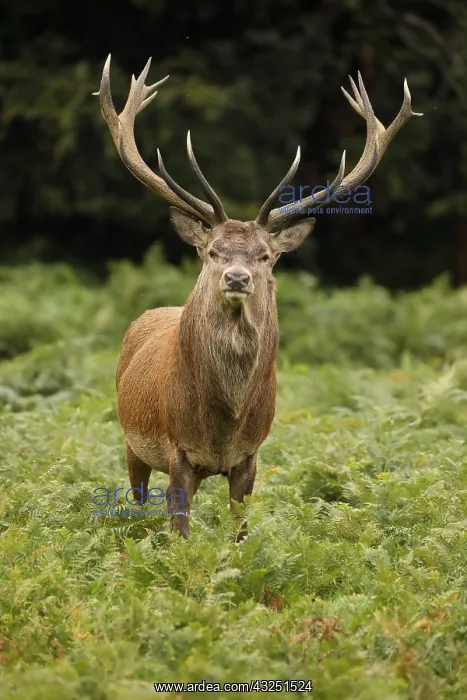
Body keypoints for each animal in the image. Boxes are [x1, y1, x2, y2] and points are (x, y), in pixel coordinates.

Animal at [94, 55, 422, 540]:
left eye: (265, 255)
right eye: (213, 251)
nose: (236, 278)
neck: (224, 422)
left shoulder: (251, 455)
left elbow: (241, 533)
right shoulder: (177, 449)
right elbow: (180, 534)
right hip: (131, 441)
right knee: (136, 500)